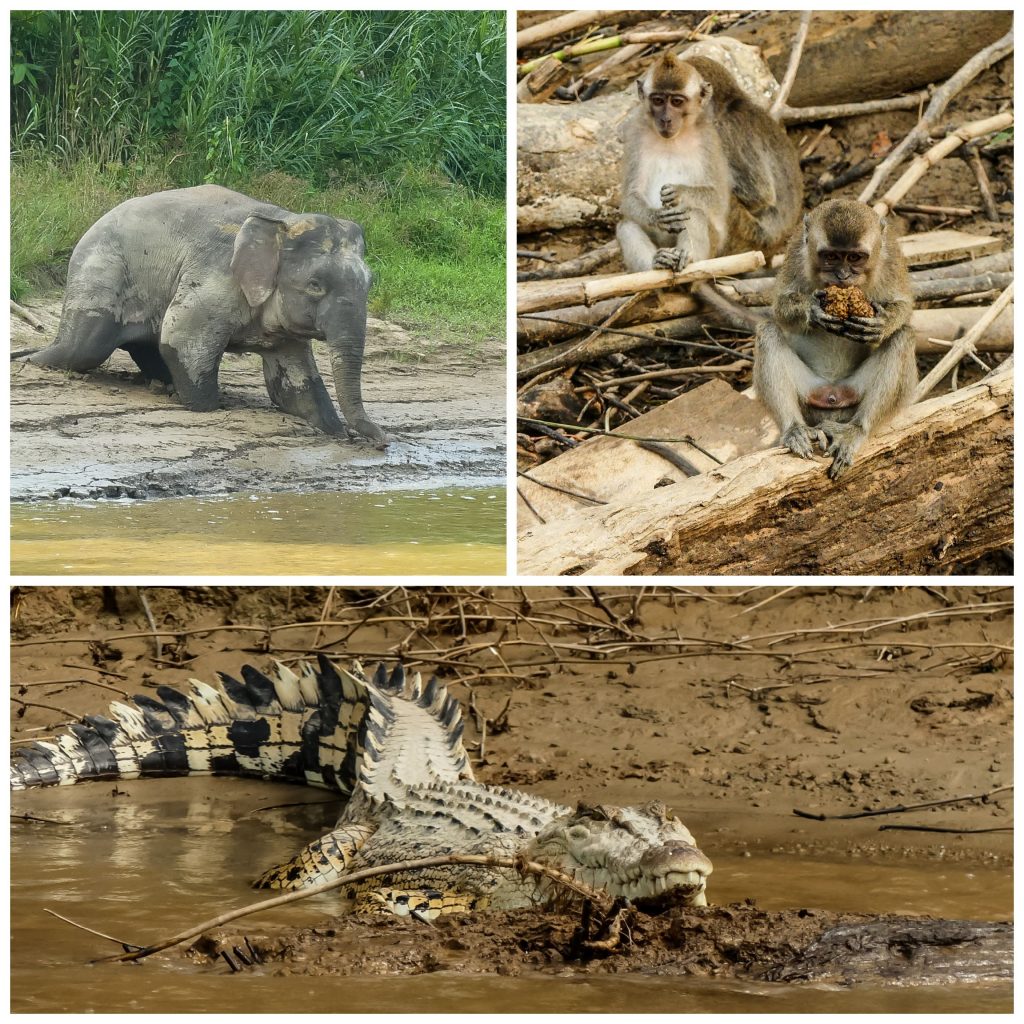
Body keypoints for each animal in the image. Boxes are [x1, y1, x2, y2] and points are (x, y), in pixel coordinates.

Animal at [30, 186, 387, 446]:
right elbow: (181, 338)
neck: (281, 221)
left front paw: (333, 428)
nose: (382, 442)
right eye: (315, 285)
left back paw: (163, 384)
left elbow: (293, 385)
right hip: (101, 269)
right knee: (84, 349)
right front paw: (207, 406)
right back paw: (31, 360)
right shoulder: (215, 277)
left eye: (370, 283)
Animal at [618, 52, 802, 274]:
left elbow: (760, 195)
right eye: (658, 100)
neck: (729, 104)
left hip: (751, 234)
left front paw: (679, 193)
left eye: (677, 102)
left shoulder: (723, 130)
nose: (665, 119)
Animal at [757, 199, 917, 479]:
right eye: (830, 257)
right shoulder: (796, 251)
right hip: (811, 393)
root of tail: (833, 394)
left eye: (854, 257)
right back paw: (795, 429)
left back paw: (856, 430)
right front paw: (812, 310)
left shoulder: (891, 257)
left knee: (903, 337)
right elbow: (779, 308)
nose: (842, 276)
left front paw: (883, 323)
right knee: (767, 332)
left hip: (853, 392)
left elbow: (904, 306)